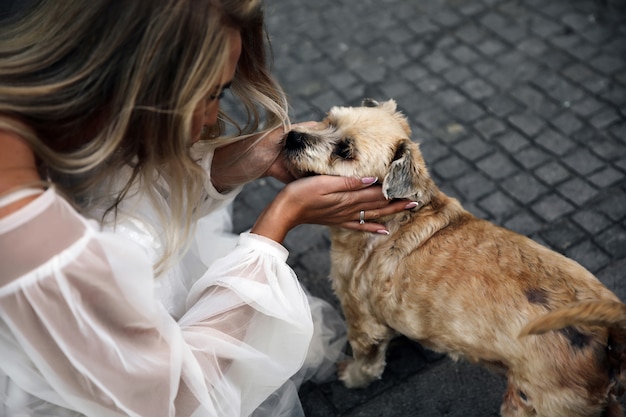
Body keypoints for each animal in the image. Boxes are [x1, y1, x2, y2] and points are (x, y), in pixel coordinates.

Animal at [282, 99, 624, 414]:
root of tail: (608, 334)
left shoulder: (362, 319)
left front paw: (351, 376)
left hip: (533, 402)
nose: (292, 136)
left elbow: (367, 362)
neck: (398, 218)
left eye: (345, 151)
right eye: (329, 120)